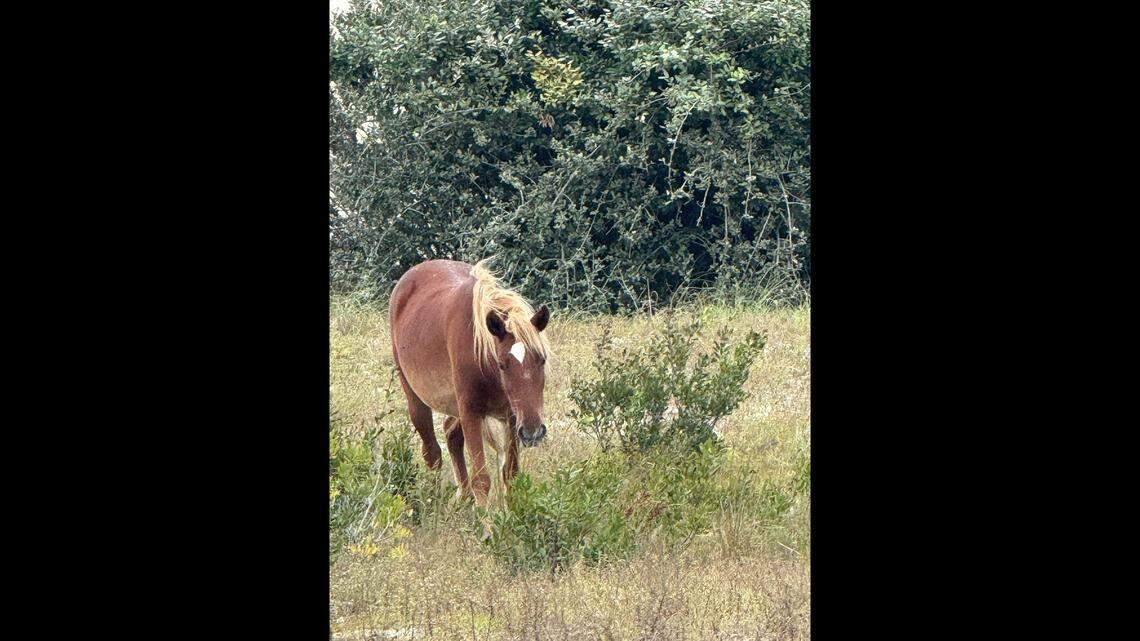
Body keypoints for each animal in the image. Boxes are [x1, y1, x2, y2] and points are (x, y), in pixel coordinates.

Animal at [389, 258, 551, 507]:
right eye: (502, 364)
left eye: (542, 359)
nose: (533, 431)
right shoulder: (471, 414)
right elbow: (482, 479)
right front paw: (486, 519)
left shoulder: (512, 417)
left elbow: (511, 474)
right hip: (416, 399)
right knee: (432, 453)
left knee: (451, 434)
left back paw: (464, 497)